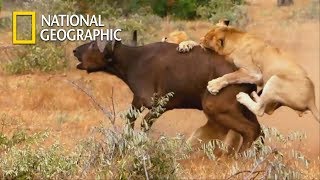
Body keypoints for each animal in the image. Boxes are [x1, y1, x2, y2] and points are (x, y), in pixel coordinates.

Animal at [73, 39, 262, 152]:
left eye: (93, 45)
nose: (75, 50)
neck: (134, 60)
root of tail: (251, 75)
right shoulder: (137, 102)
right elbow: (129, 122)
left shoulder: (159, 106)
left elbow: (143, 126)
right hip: (243, 110)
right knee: (259, 131)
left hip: (216, 109)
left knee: (250, 130)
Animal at [180, 21, 318, 121]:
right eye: (204, 36)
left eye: (205, 40)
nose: (200, 39)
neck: (234, 37)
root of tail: (312, 99)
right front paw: (185, 44)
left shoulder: (255, 74)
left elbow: (231, 75)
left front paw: (214, 85)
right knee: (267, 108)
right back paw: (255, 95)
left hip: (274, 79)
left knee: (260, 110)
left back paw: (243, 97)